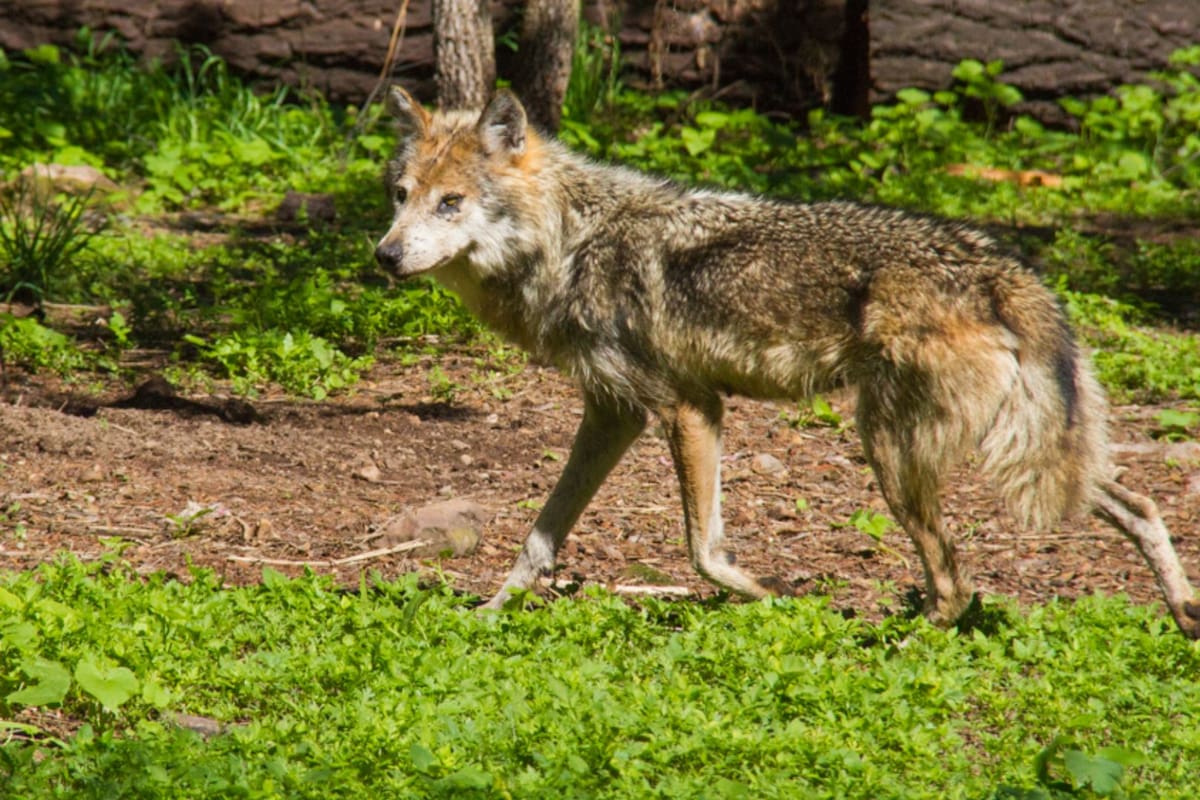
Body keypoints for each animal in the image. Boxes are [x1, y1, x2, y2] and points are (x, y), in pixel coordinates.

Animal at [374, 86, 1200, 637]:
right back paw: (1184, 613)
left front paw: (782, 601)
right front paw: (489, 614)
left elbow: (705, 552)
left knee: (953, 582)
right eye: (401, 194)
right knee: (1141, 506)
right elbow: (540, 537)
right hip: (1020, 454)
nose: (383, 255)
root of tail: (1002, 266)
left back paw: (893, 646)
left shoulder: (689, 407)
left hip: (893, 454)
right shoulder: (614, 412)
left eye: (450, 203)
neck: (569, 241)